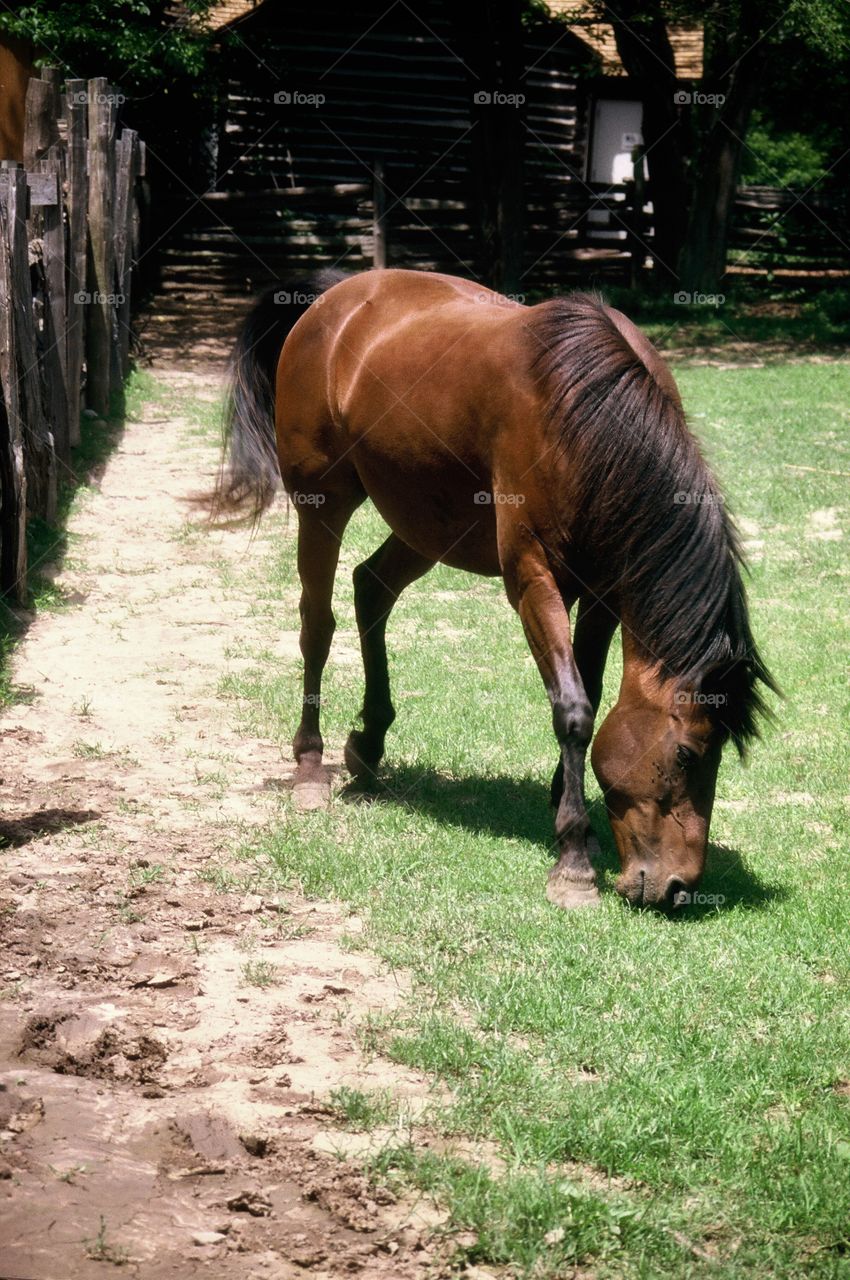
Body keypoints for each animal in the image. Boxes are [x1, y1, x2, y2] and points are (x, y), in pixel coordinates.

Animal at [213, 267, 778, 911]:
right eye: (687, 754)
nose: (680, 888)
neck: (587, 415)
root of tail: (334, 295)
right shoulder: (533, 579)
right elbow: (574, 710)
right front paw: (573, 860)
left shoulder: (605, 592)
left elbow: (590, 687)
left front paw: (570, 815)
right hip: (323, 504)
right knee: (317, 623)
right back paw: (310, 765)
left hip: (427, 524)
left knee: (372, 588)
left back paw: (370, 744)